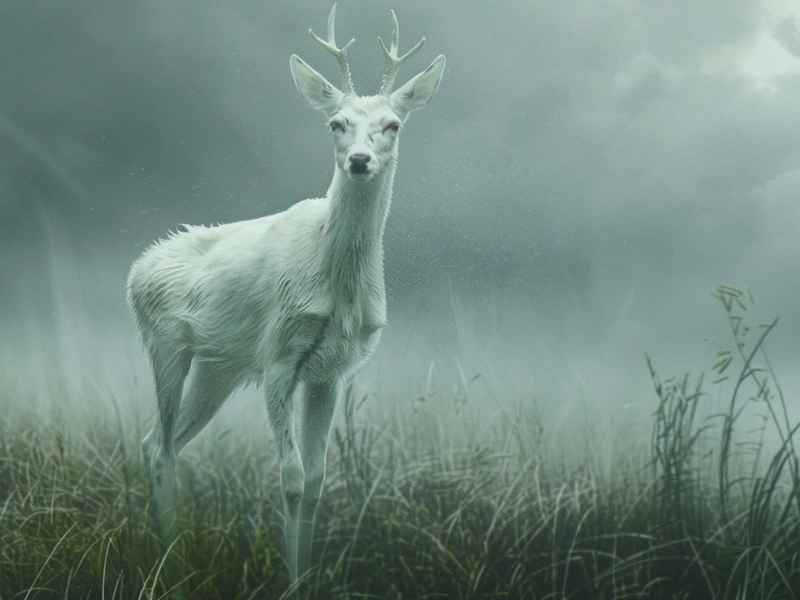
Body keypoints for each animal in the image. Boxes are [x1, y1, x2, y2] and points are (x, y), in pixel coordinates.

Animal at [126, 3, 445, 582]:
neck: (335, 280)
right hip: (165, 345)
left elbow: (317, 480)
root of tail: (138, 268)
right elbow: (291, 476)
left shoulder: (330, 371)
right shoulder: (279, 356)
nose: (359, 160)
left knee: (160, 441)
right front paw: (288, 577)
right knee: (158, 446)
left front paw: (307, 576)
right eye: (336, 123)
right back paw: (168, 558)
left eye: (392, 124)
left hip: (219, 368)